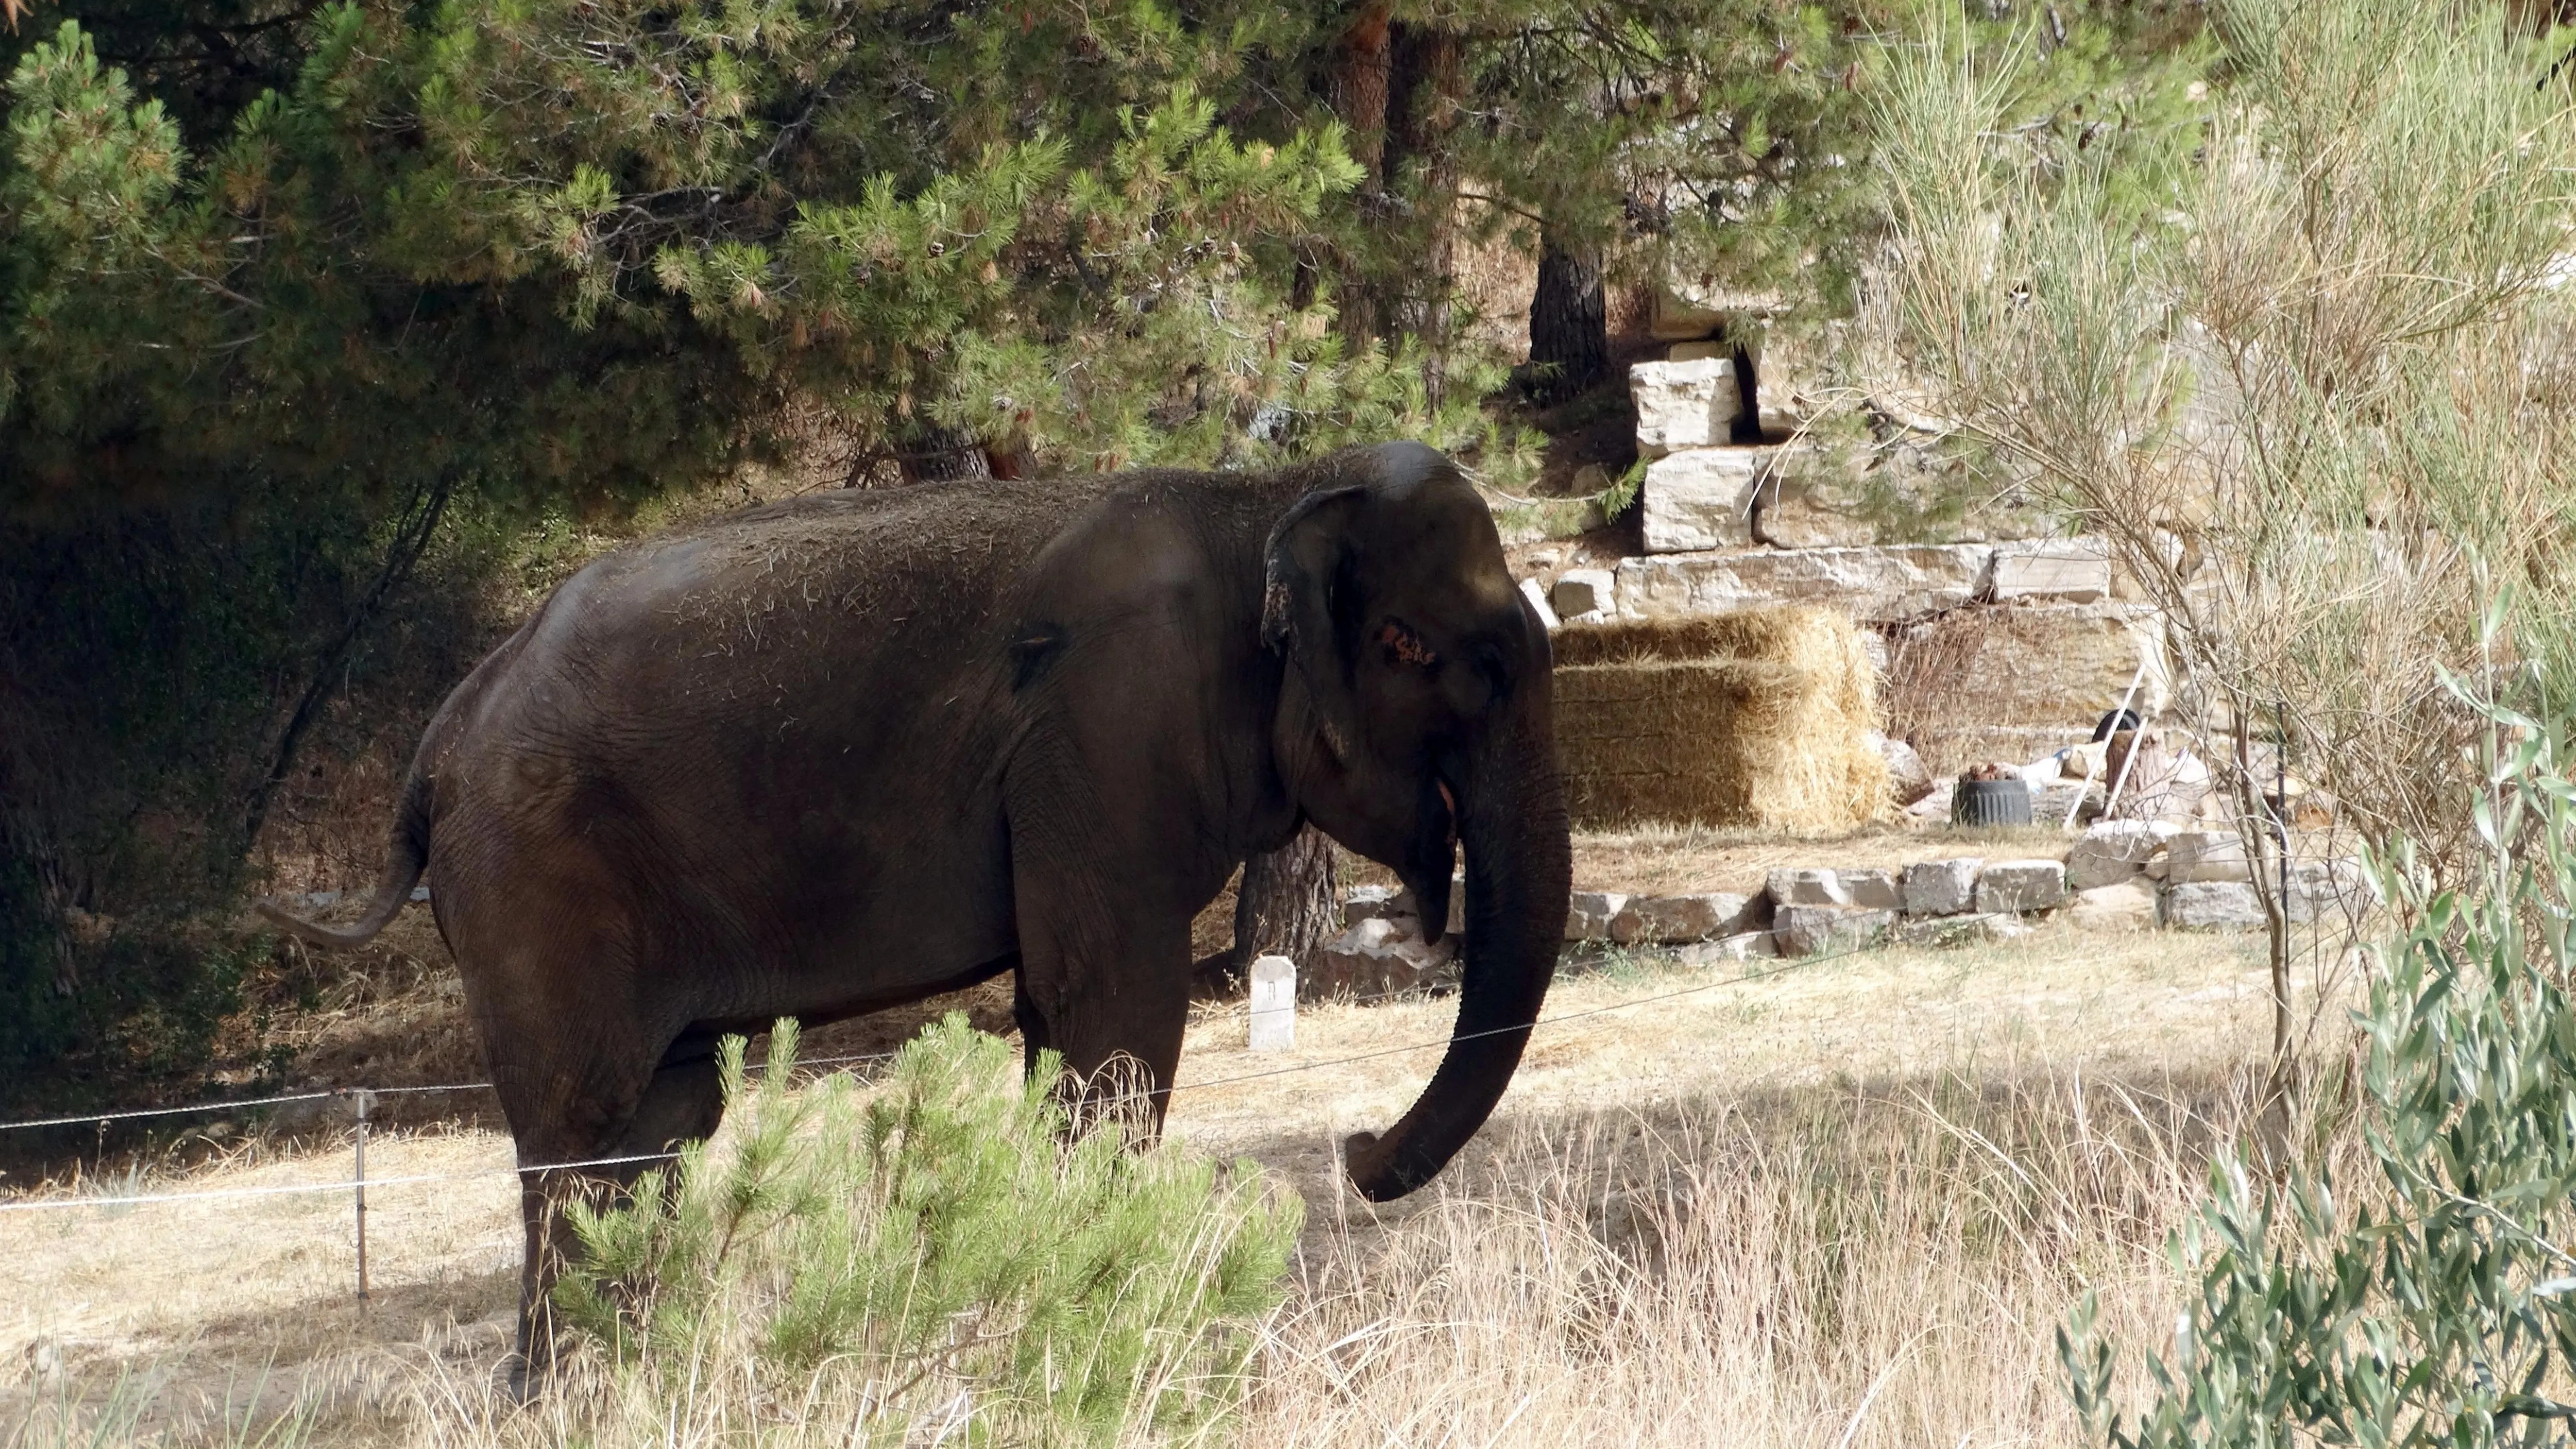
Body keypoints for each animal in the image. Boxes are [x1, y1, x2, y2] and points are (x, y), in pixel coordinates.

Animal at [272, 440, 1577, 1379]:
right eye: (1413, 645)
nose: (1354, 1150)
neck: (1260, 493)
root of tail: (437, 744)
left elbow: (1063, 1016)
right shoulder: (1101, 740)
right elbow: (1115, 1008)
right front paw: (1090, 1317)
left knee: (664, 1116)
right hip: (537, 879)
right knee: (583, 1120)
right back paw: (563, 1394)